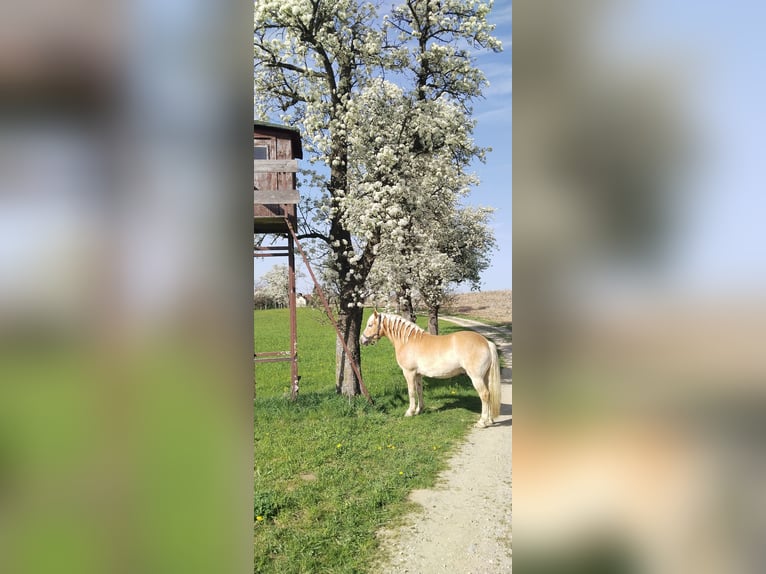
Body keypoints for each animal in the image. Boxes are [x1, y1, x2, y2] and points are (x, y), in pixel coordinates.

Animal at [364, 310, 508, 428]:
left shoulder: (409, 373)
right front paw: (419, 410)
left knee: (484, 395)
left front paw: (410, 412)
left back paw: (482, 422)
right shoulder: (418, 374)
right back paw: (489, 420)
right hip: (485, 377)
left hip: (476, 377)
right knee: (489, 394)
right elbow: (419, 391)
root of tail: (486, 342)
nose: (362, 340)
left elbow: (411, 392)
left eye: (370, 325)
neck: (408, 341)